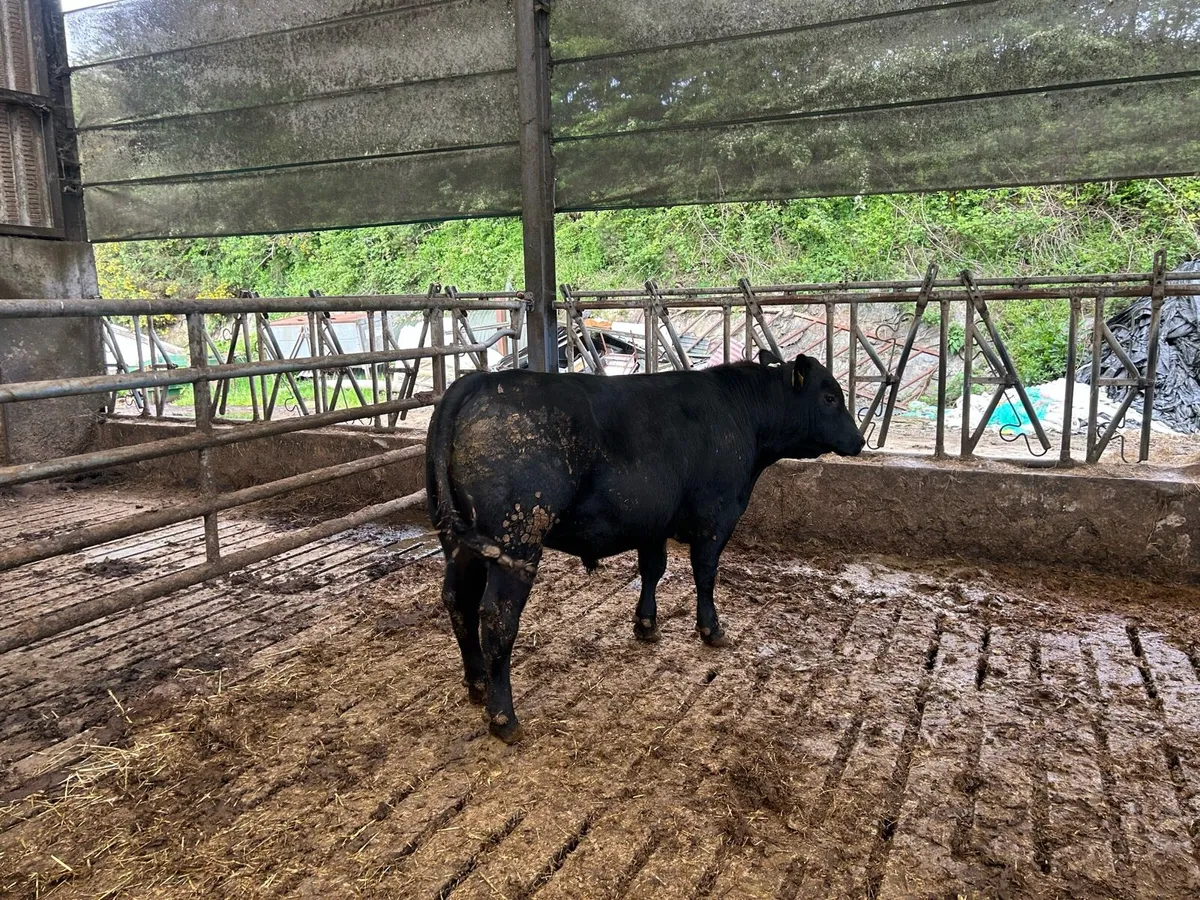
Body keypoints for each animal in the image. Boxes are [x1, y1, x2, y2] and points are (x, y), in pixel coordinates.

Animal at [425, 351, 865, 743]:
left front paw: (647, 625)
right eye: (830, 397)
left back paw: (477, 684)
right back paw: (504, 718)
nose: (860, 440)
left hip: (459, 542)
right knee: (497, 617)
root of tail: (476, 381)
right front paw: (712, 629)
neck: (742, 416)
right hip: (516, 539)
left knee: (458, 600)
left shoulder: (652, 522)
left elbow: (652, 569)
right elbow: (705, 574)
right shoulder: (716, 517)